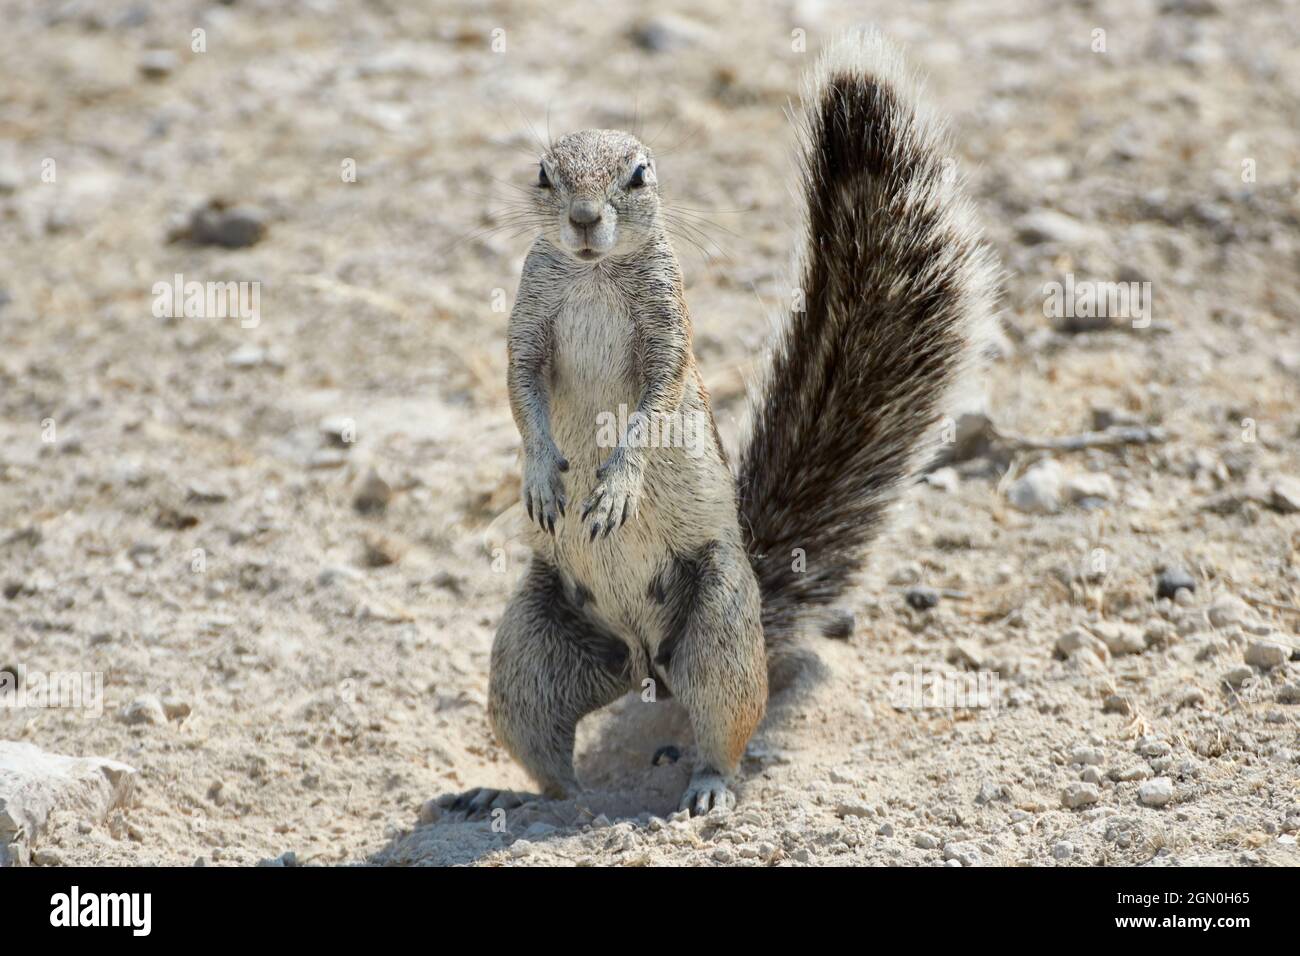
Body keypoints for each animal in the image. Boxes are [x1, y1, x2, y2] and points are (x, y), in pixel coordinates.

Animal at [441, 33, 998, 816]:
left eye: (639, 173)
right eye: (545, 175)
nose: (583, 219)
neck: (591, 273)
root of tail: (644, 665)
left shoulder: (668, 339)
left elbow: (653, 407)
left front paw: (616, 486)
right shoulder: (526, 334)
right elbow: (522, 397)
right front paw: (542, 476)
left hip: (718, 635)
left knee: (724, 730)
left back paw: (706, 787)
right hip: (528, 656)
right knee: (553, 766)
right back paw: (515, 799)